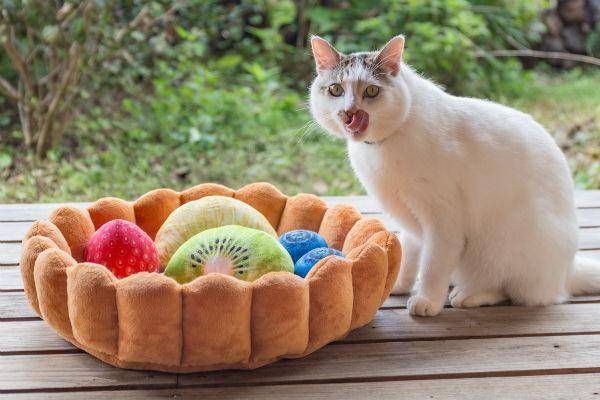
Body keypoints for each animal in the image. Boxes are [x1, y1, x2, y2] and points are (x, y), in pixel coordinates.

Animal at [308, 33, 600, 316]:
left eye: (371, 90)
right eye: (336, 90)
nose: (349, 112)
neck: (380, 148)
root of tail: (569, 268)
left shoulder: (442, 223)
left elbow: (432, 266)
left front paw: (426, 301)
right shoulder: (411, 224)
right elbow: (410, 258)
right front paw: (398, 285)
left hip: (506, 242)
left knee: (519, 292)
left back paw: (467, 295)